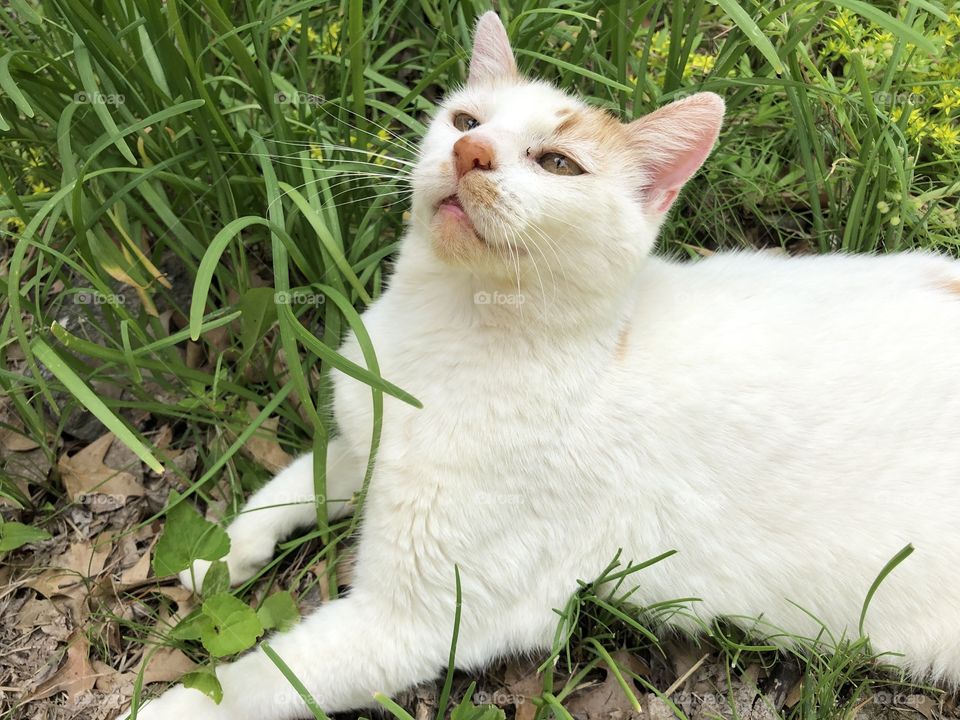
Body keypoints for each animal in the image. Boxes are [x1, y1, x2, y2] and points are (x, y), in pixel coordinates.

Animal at [131, 11, 960, 720]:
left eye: (558, 163)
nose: (469, 154)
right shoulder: (369, 442)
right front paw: (224, 551)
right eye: (467, 122)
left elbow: (257, 682)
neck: (444, 329)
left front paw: (166, 706)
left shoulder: (414, 620)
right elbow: (303, 474)